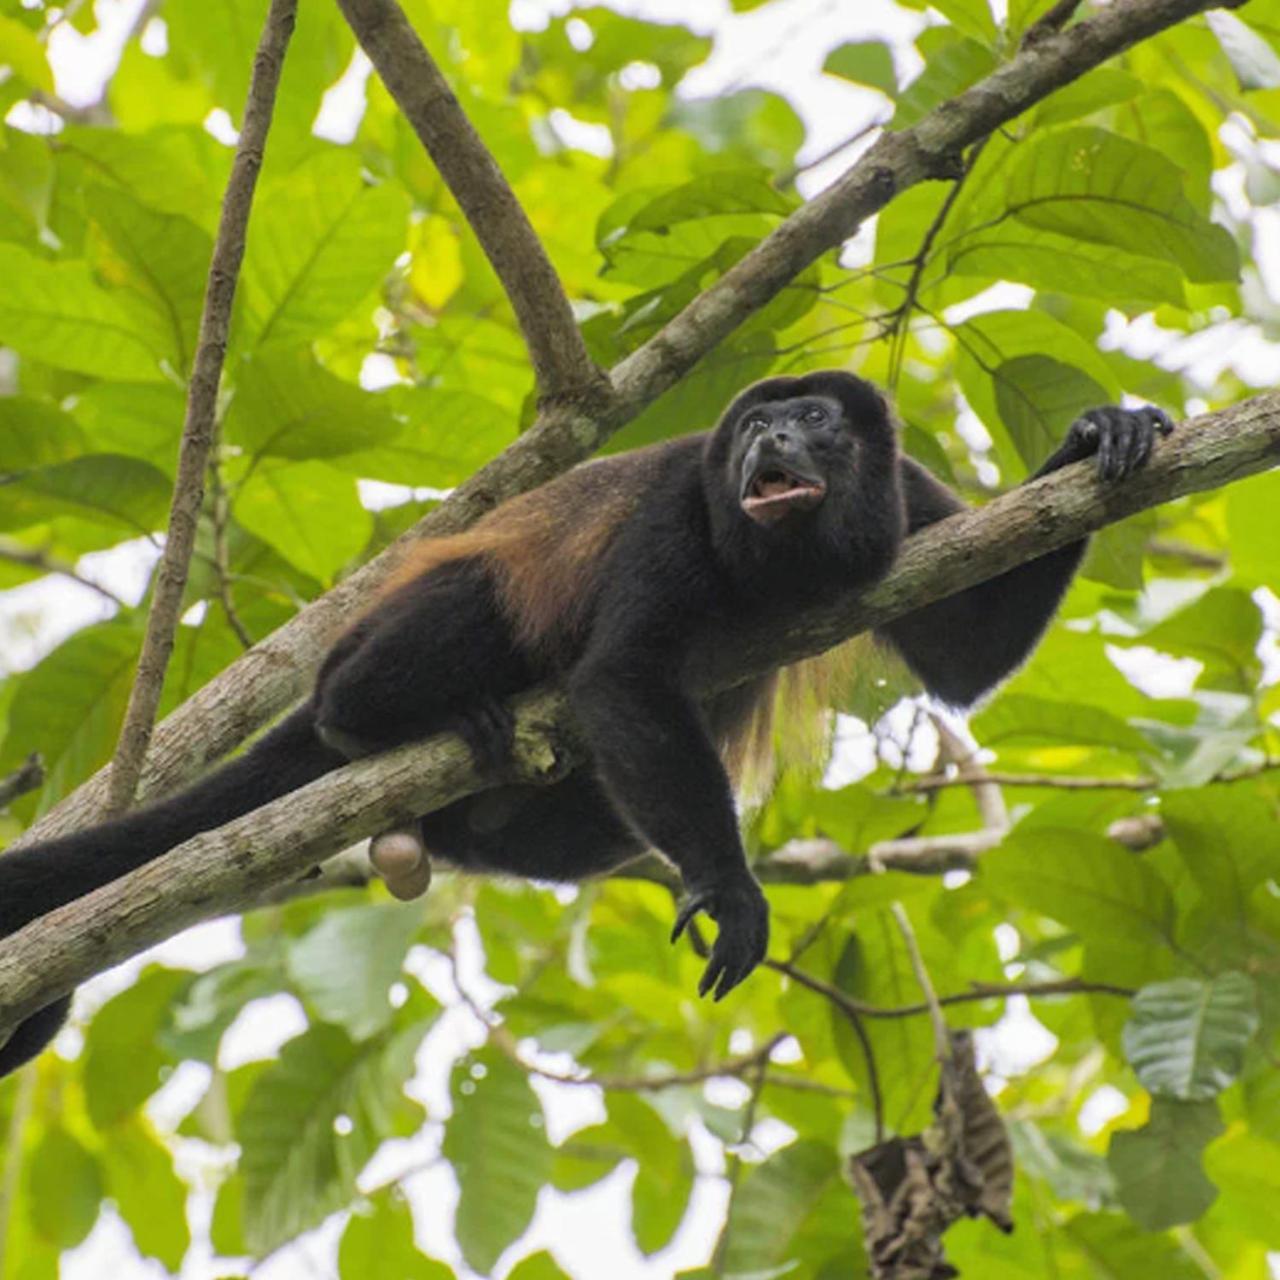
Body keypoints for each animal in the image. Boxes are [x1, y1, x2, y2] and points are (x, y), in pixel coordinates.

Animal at [0, 371, 1172, 1070]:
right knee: (462, 614)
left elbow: (966, 657)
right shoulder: (679, 498)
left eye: (815, 418)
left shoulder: (909, 494)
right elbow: (620, 677)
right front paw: (732, 889)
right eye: (755, 422)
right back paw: (379, 716)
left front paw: (1092, 435)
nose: (771, 430)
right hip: (392, 634)